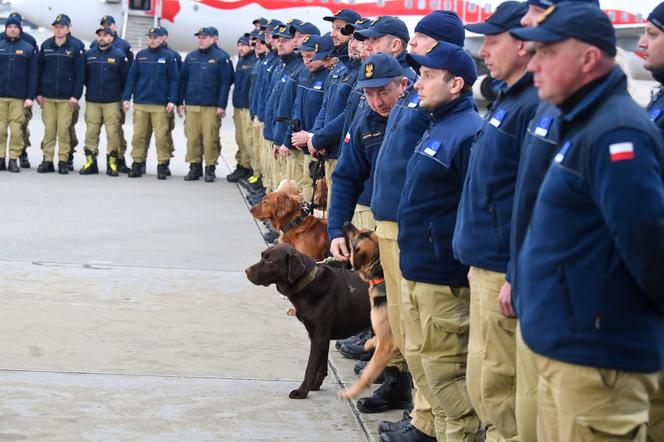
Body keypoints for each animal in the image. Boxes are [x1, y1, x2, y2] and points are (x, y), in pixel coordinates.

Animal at [246, 243, 374, 398]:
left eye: (269, 260)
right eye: (262, 256)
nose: (246, 271)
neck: (307, 282)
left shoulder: (319, 336)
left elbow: (311, 367)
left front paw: (302, 391)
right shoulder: (321, 336)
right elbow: (322, 365)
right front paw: (315, 385)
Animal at [340, 223, 396, 398]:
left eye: (354, 239)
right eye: (366, 231)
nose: (346, 223)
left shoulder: (386, 346)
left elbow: (368, 372)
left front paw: (351, 392)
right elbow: (375, 337)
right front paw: (368, 343)